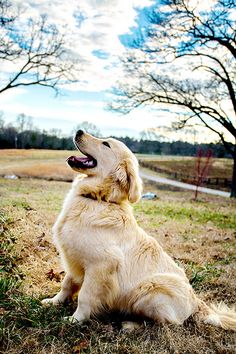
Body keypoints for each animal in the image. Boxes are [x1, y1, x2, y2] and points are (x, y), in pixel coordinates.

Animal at [42, 131, 236, 332]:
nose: (78, 131)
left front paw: (75, 320)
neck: (100, 199)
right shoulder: (75, 259)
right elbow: (67, 284)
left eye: (106, 144)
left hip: (149, 291)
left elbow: (85, 297)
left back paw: (130, 324)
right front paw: (54, 301)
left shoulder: (100, 266)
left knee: (163, 324)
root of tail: (196, 302)